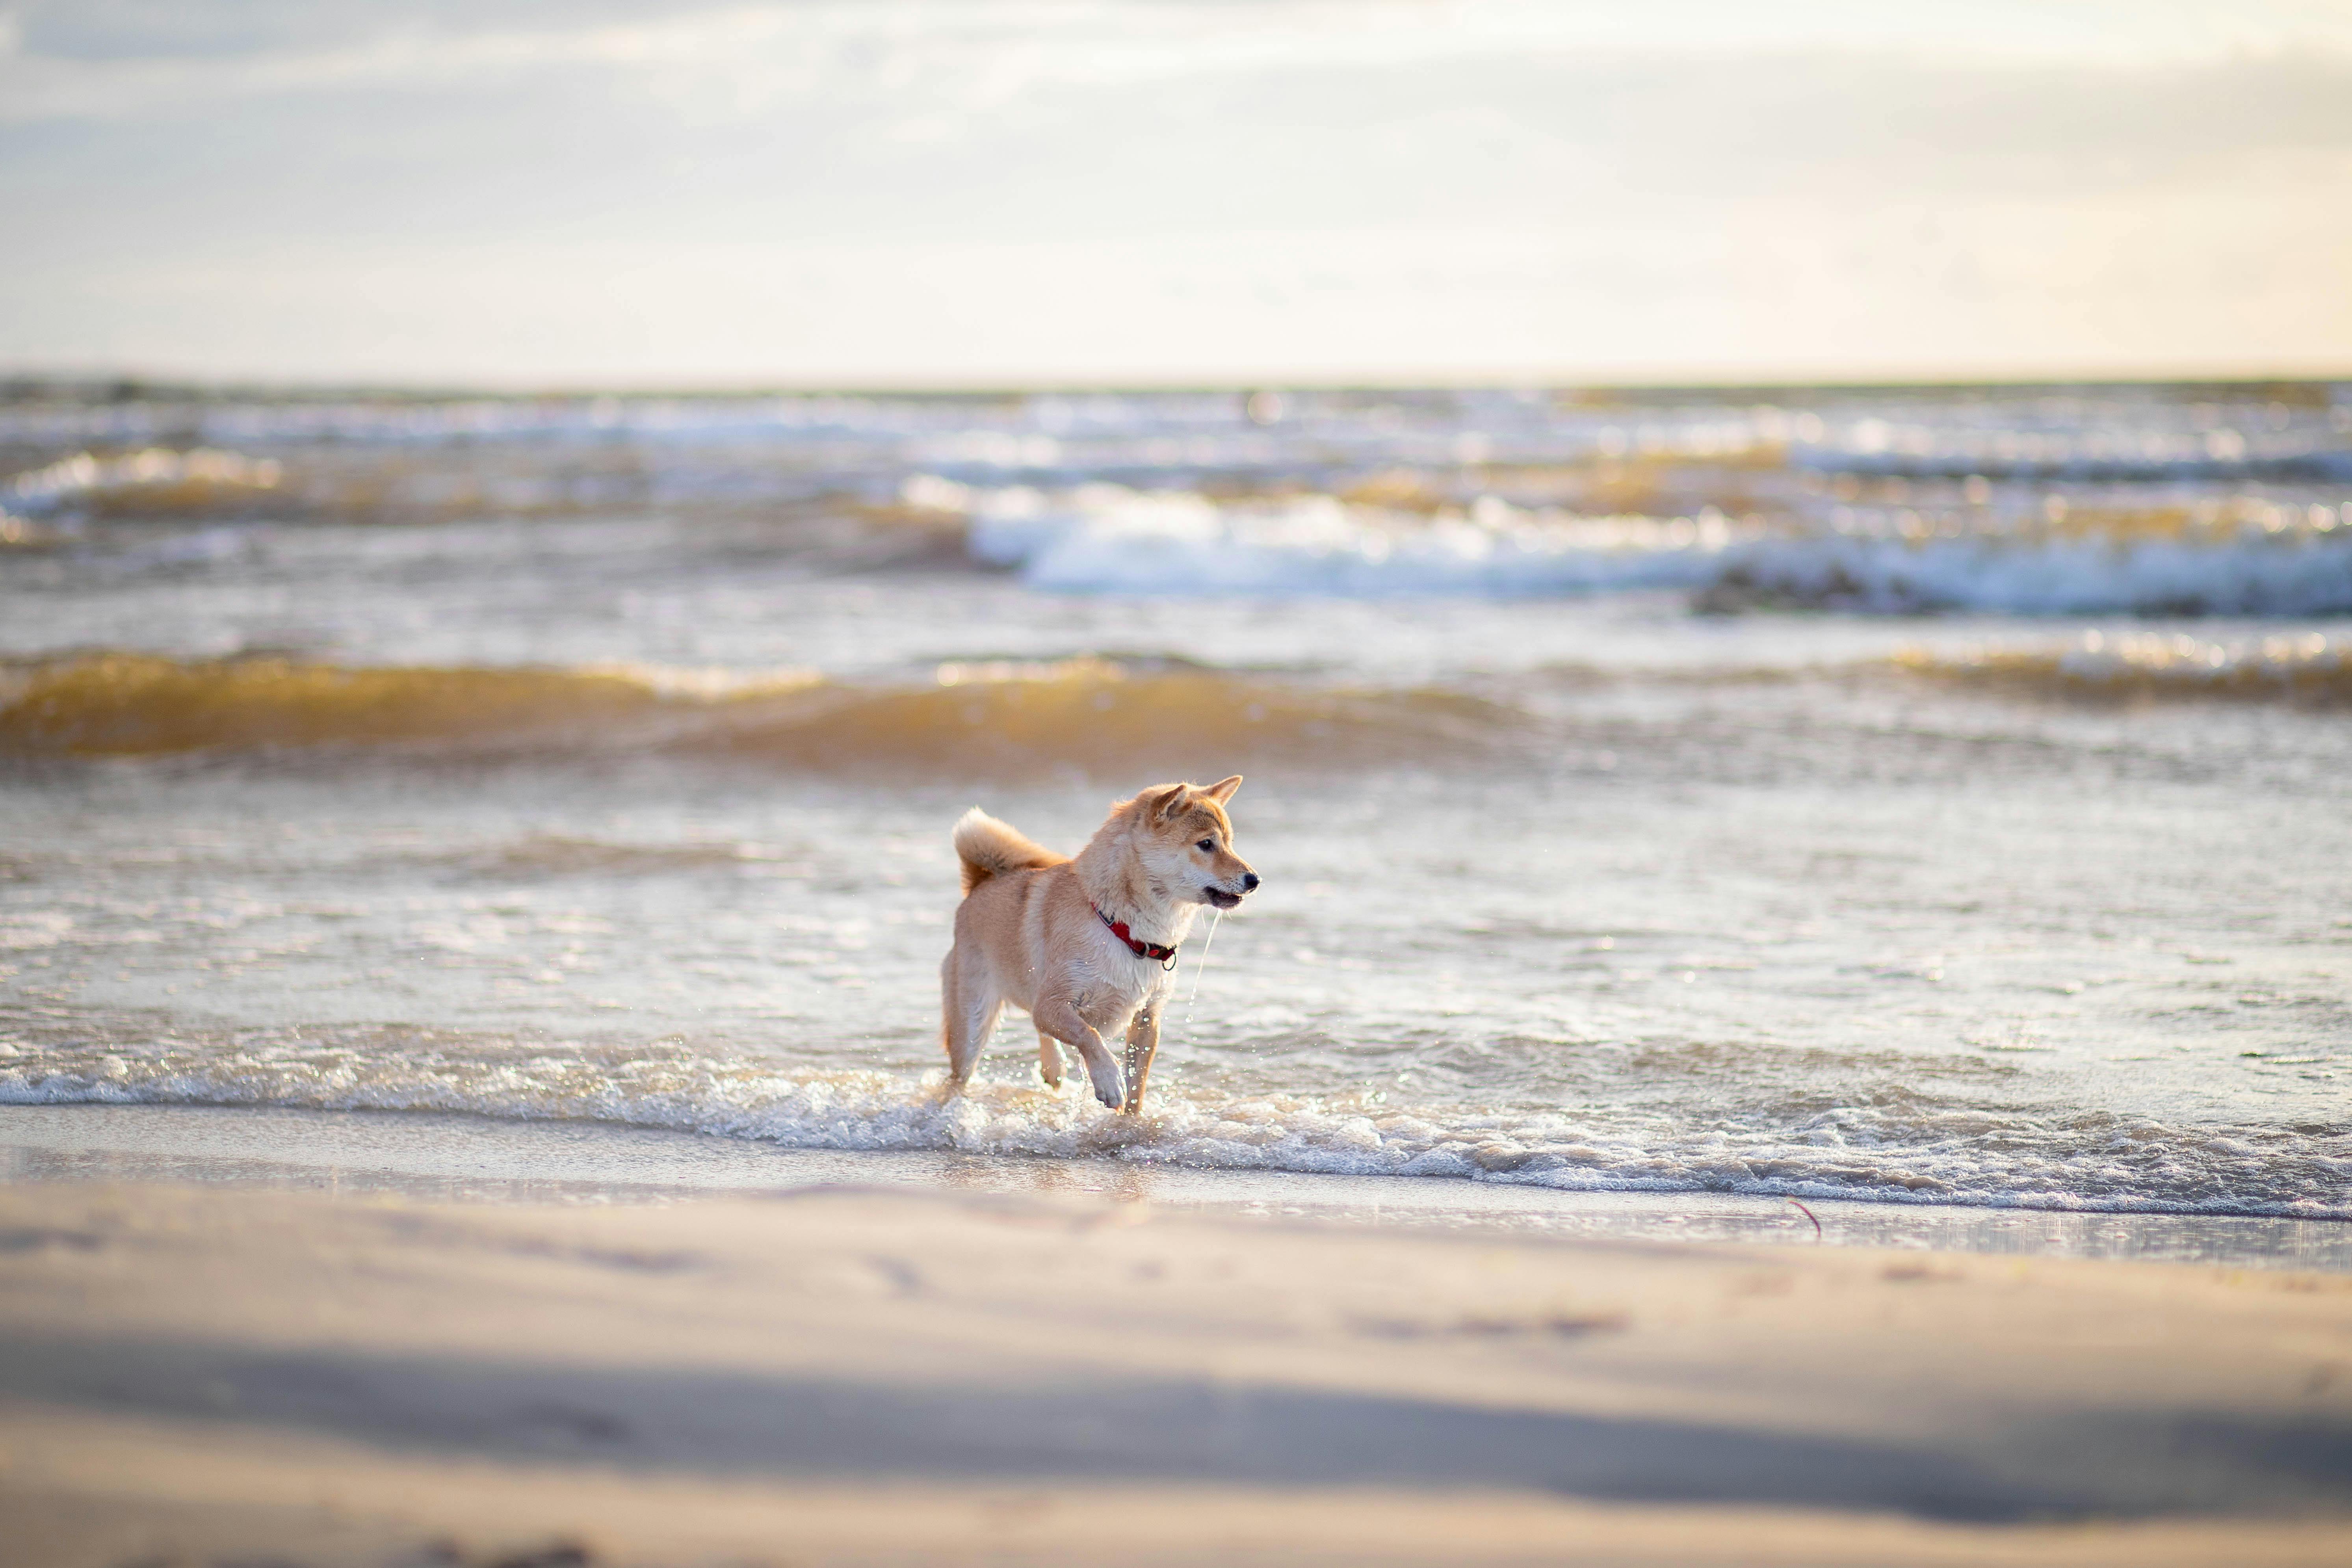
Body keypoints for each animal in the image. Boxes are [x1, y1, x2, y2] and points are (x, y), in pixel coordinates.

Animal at [945, 780, 1260, 1109]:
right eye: (1206, 844)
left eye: (1230, 842)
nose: (1255, 880)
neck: (1124, 929)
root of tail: (980, 884)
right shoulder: (1054, 1005)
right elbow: (1089, 1035)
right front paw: (1109, 1081)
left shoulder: (1147, 1016)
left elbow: (1137, 1086)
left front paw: (1132, 1119)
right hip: (971, 1025)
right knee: (960, 1073)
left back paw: (1053, 1069)